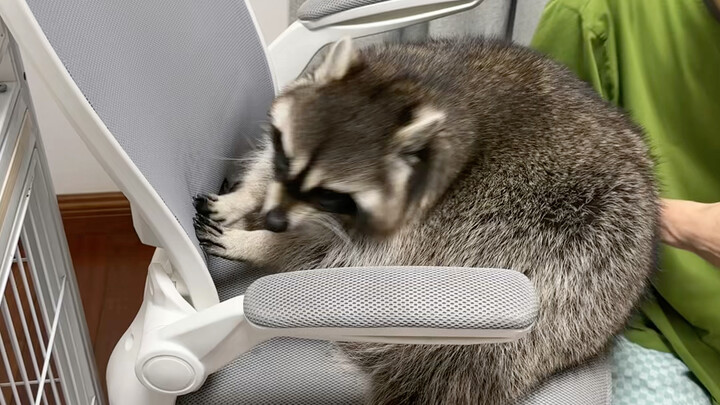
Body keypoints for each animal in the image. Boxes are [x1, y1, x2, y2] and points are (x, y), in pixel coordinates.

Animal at [194, 37, 659, 404]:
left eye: (330, 194)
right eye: (285, 156)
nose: (272, 222)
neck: (409, 88)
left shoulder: (419, 216)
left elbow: (338, 258)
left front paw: (262, 247)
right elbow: (267, 174)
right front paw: (245, 198)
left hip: (566, 236)